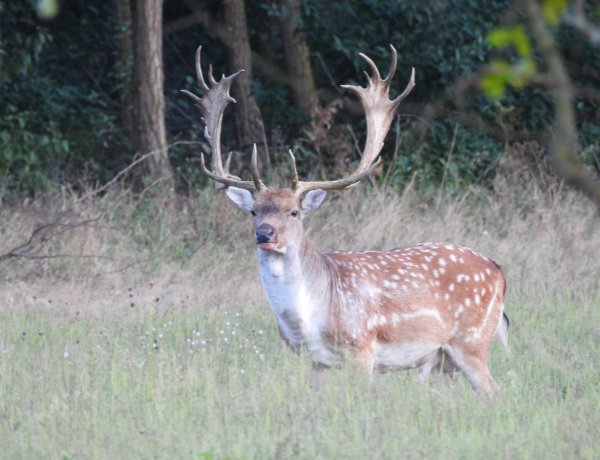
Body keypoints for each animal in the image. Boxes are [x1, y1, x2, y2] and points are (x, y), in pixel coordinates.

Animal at [183, 45, 510, 394]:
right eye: (254, 210)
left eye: (294, 212)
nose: (265, 233)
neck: (311, 317)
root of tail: (498, 272)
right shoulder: (315, 360)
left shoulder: (362, 346)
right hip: (443, 358)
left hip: (472, 340)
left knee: (494, 392)